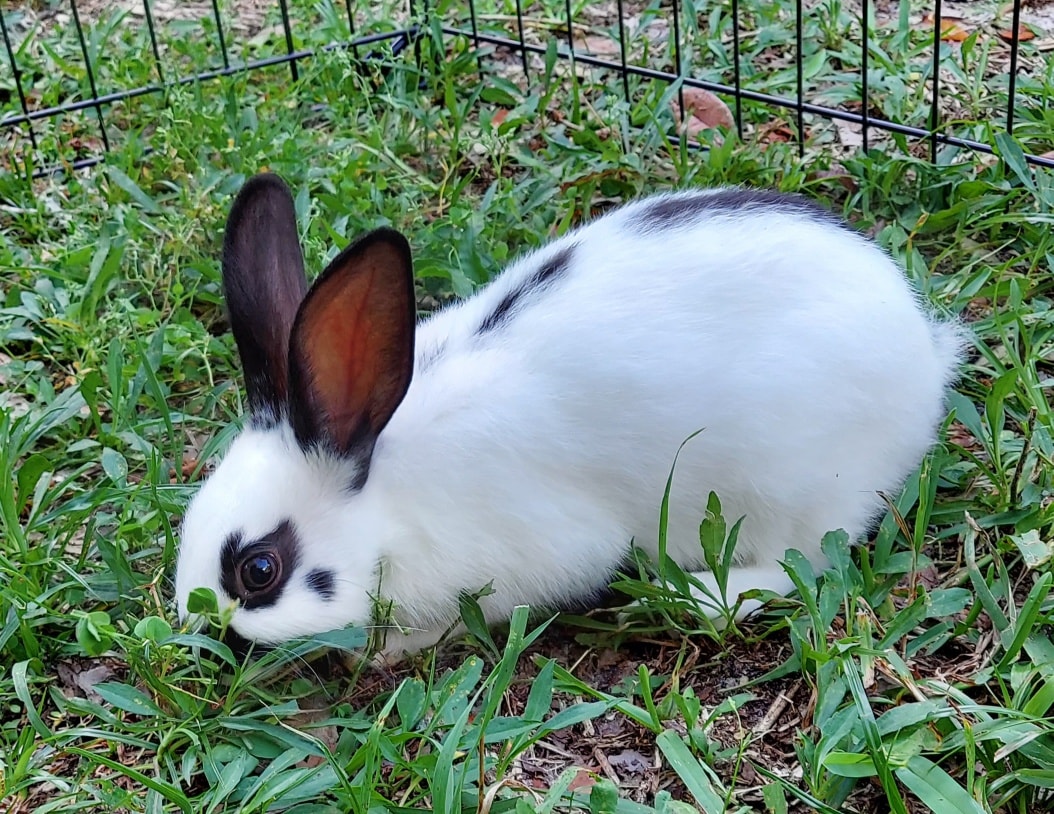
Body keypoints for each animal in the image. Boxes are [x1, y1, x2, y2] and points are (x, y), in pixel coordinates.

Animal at [174, 172, 965, 662]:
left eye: (258, 571)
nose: (200, 634)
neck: (386, 492)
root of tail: (924, 360)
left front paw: (392, 649)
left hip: (792, 486)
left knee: (811, 557)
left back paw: (703, 596)